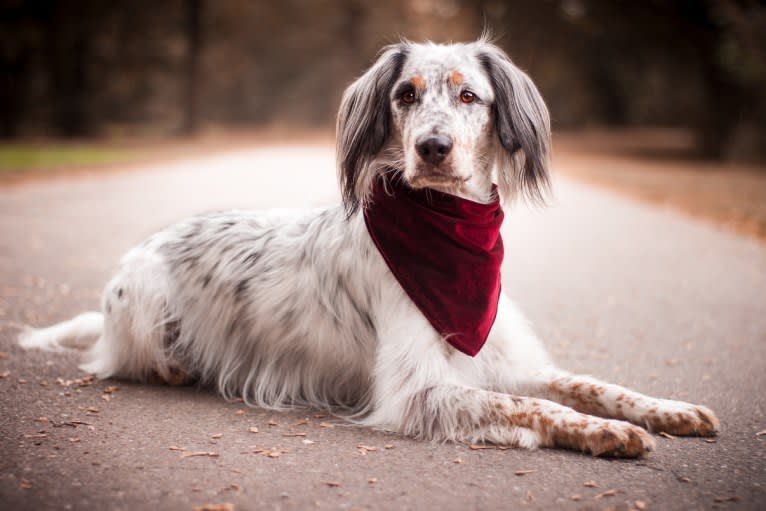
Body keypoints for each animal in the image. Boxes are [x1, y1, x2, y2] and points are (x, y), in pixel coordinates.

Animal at [18, 38, 720, 458]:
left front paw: (666, 410)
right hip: (142, 300)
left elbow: (590, 384)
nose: (432, 147)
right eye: (405, 95)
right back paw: (178, 365)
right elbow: (537, 405)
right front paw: (611, 433)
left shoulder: (499, 356)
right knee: (134, 358)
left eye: (470, 95)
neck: (451, 234)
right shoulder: (420, 393)